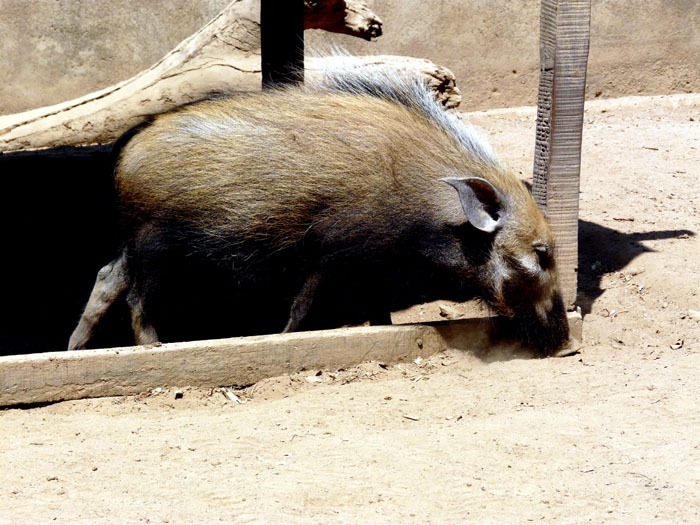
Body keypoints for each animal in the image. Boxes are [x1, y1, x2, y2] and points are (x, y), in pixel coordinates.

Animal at [67, 66, 568, 352]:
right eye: (542, 254)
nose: (566, 346)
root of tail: (124, 152)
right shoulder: (332, 253)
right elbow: (303, 306)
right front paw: (284, 339)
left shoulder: (368, 266)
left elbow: (376, 311)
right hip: (156, 245)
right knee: (135, 297)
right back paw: (151, 348)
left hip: (134, 243)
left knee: (106, 280)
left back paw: (74, 349)